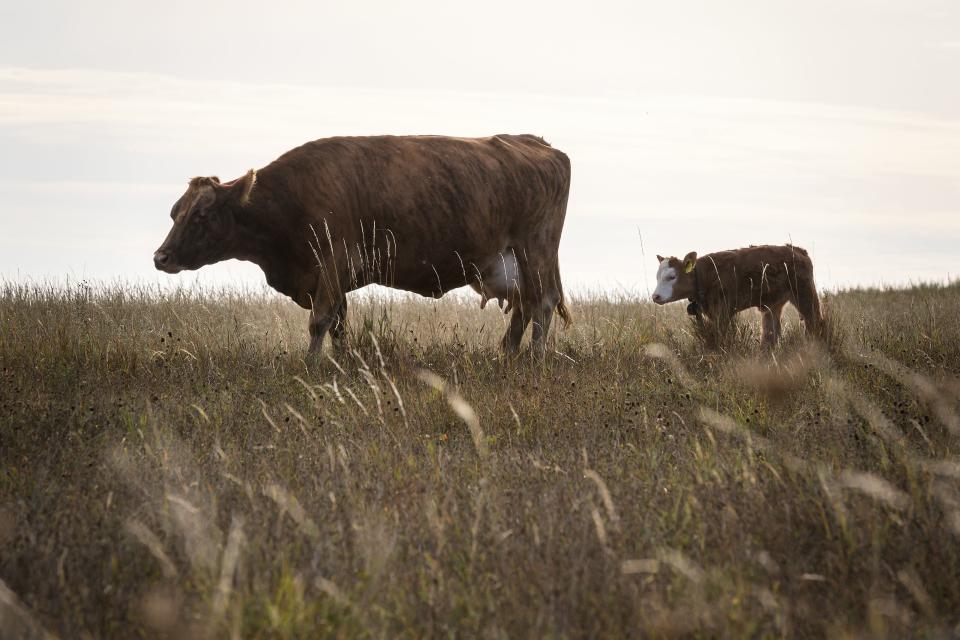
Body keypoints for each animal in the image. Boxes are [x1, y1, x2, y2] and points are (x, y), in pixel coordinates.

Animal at [152, 136, 568, 356]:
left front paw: (311, 368)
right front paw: (339, 364)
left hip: (536, 252)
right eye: (174, 212)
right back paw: (507, 355)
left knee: (543, 304)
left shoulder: (333, 263)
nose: (161, 257)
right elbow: (338, 324)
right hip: (514, 264)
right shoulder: (330, 278)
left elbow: (319, 321)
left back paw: (534, 359)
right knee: (524, 308)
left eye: (201, 215)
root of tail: (538, 143)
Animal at [652, 244, 824, 348]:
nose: (655, 296)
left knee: (815, 323)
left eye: (672, 277)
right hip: (773, 306)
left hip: (805, 295)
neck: (704, 275)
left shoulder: (722, 312)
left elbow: (721, 337)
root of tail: (797, 250)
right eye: (657, 276)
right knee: (770, 334)